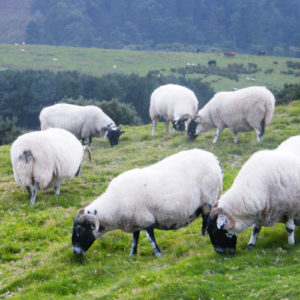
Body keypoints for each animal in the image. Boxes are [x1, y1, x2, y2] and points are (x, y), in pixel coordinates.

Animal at [71, 149, 223, 256]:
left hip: (208, 199)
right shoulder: (135, 221)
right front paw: (132, 254)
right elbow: (135, 239)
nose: (75, 252)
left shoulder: (145, 219)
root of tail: (214, 159)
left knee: (206, 219)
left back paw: (204, 236)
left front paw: (158, 254)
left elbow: (150, 237)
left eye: (79, 230)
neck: (113, 206)